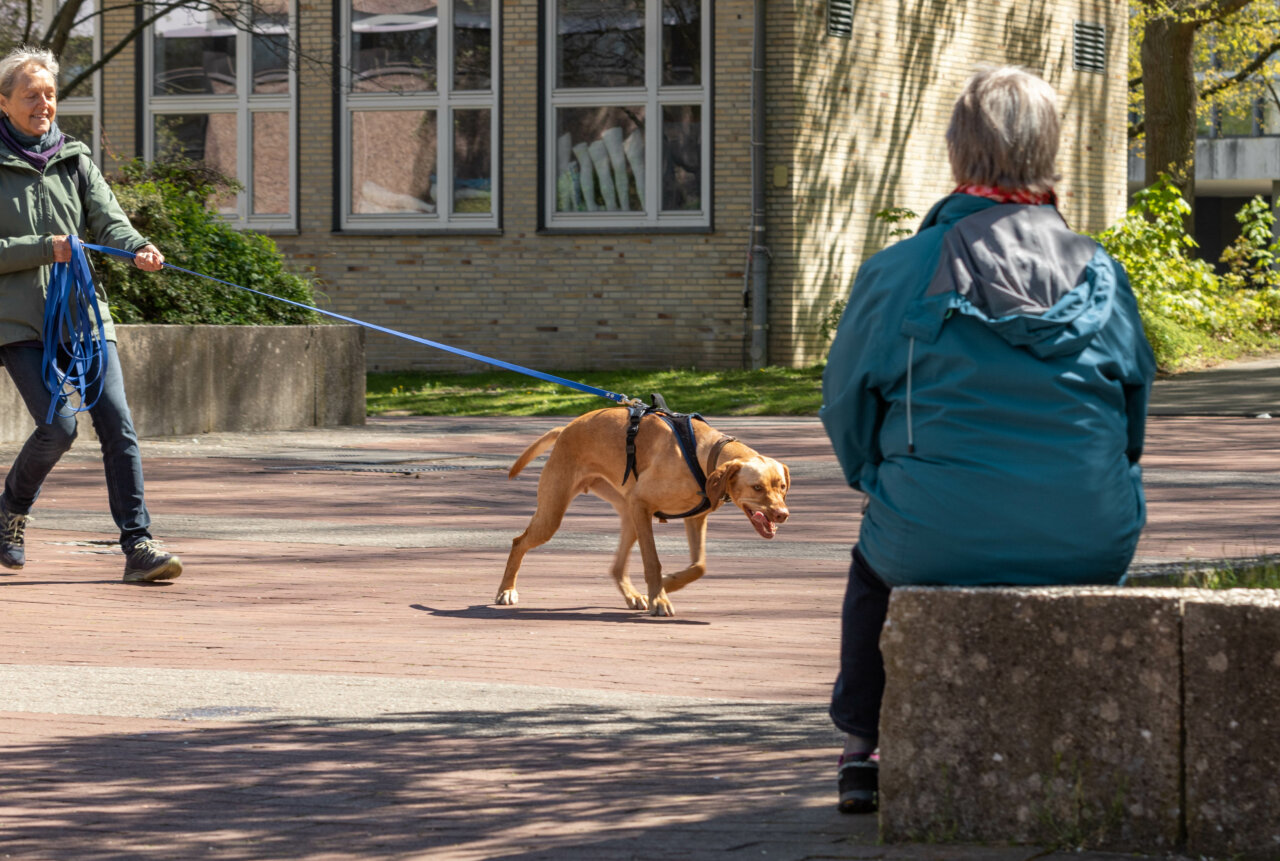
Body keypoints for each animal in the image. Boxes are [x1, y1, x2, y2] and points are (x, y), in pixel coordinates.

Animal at [496, 406, 788, 614]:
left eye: (782, 487)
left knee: (616, 567)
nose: (782, 515)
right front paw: (659, 598)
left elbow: (699, 566)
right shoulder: (643, 504)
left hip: (629, 515)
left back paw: (634, 595)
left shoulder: (694, 519)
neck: (702, 453)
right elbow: (652, 562)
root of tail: (566, 428)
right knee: (518, 542)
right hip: (555, 514)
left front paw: (667, 585)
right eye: (757, 488)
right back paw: (506, 590)